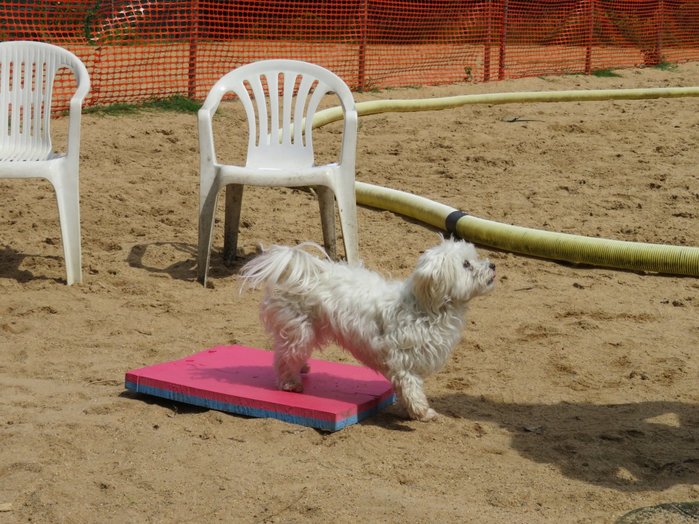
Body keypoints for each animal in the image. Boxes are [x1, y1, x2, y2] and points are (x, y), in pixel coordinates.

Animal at [241, 237, 498, 422]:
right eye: (466, 264)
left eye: (474, 258)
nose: (493, 264)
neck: (426, 307)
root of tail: (293, 269)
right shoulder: (404, 362)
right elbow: (412, 388)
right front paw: (422, 413)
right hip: (299, 329)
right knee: (284, 356)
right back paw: (290, 382)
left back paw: (301, 367)